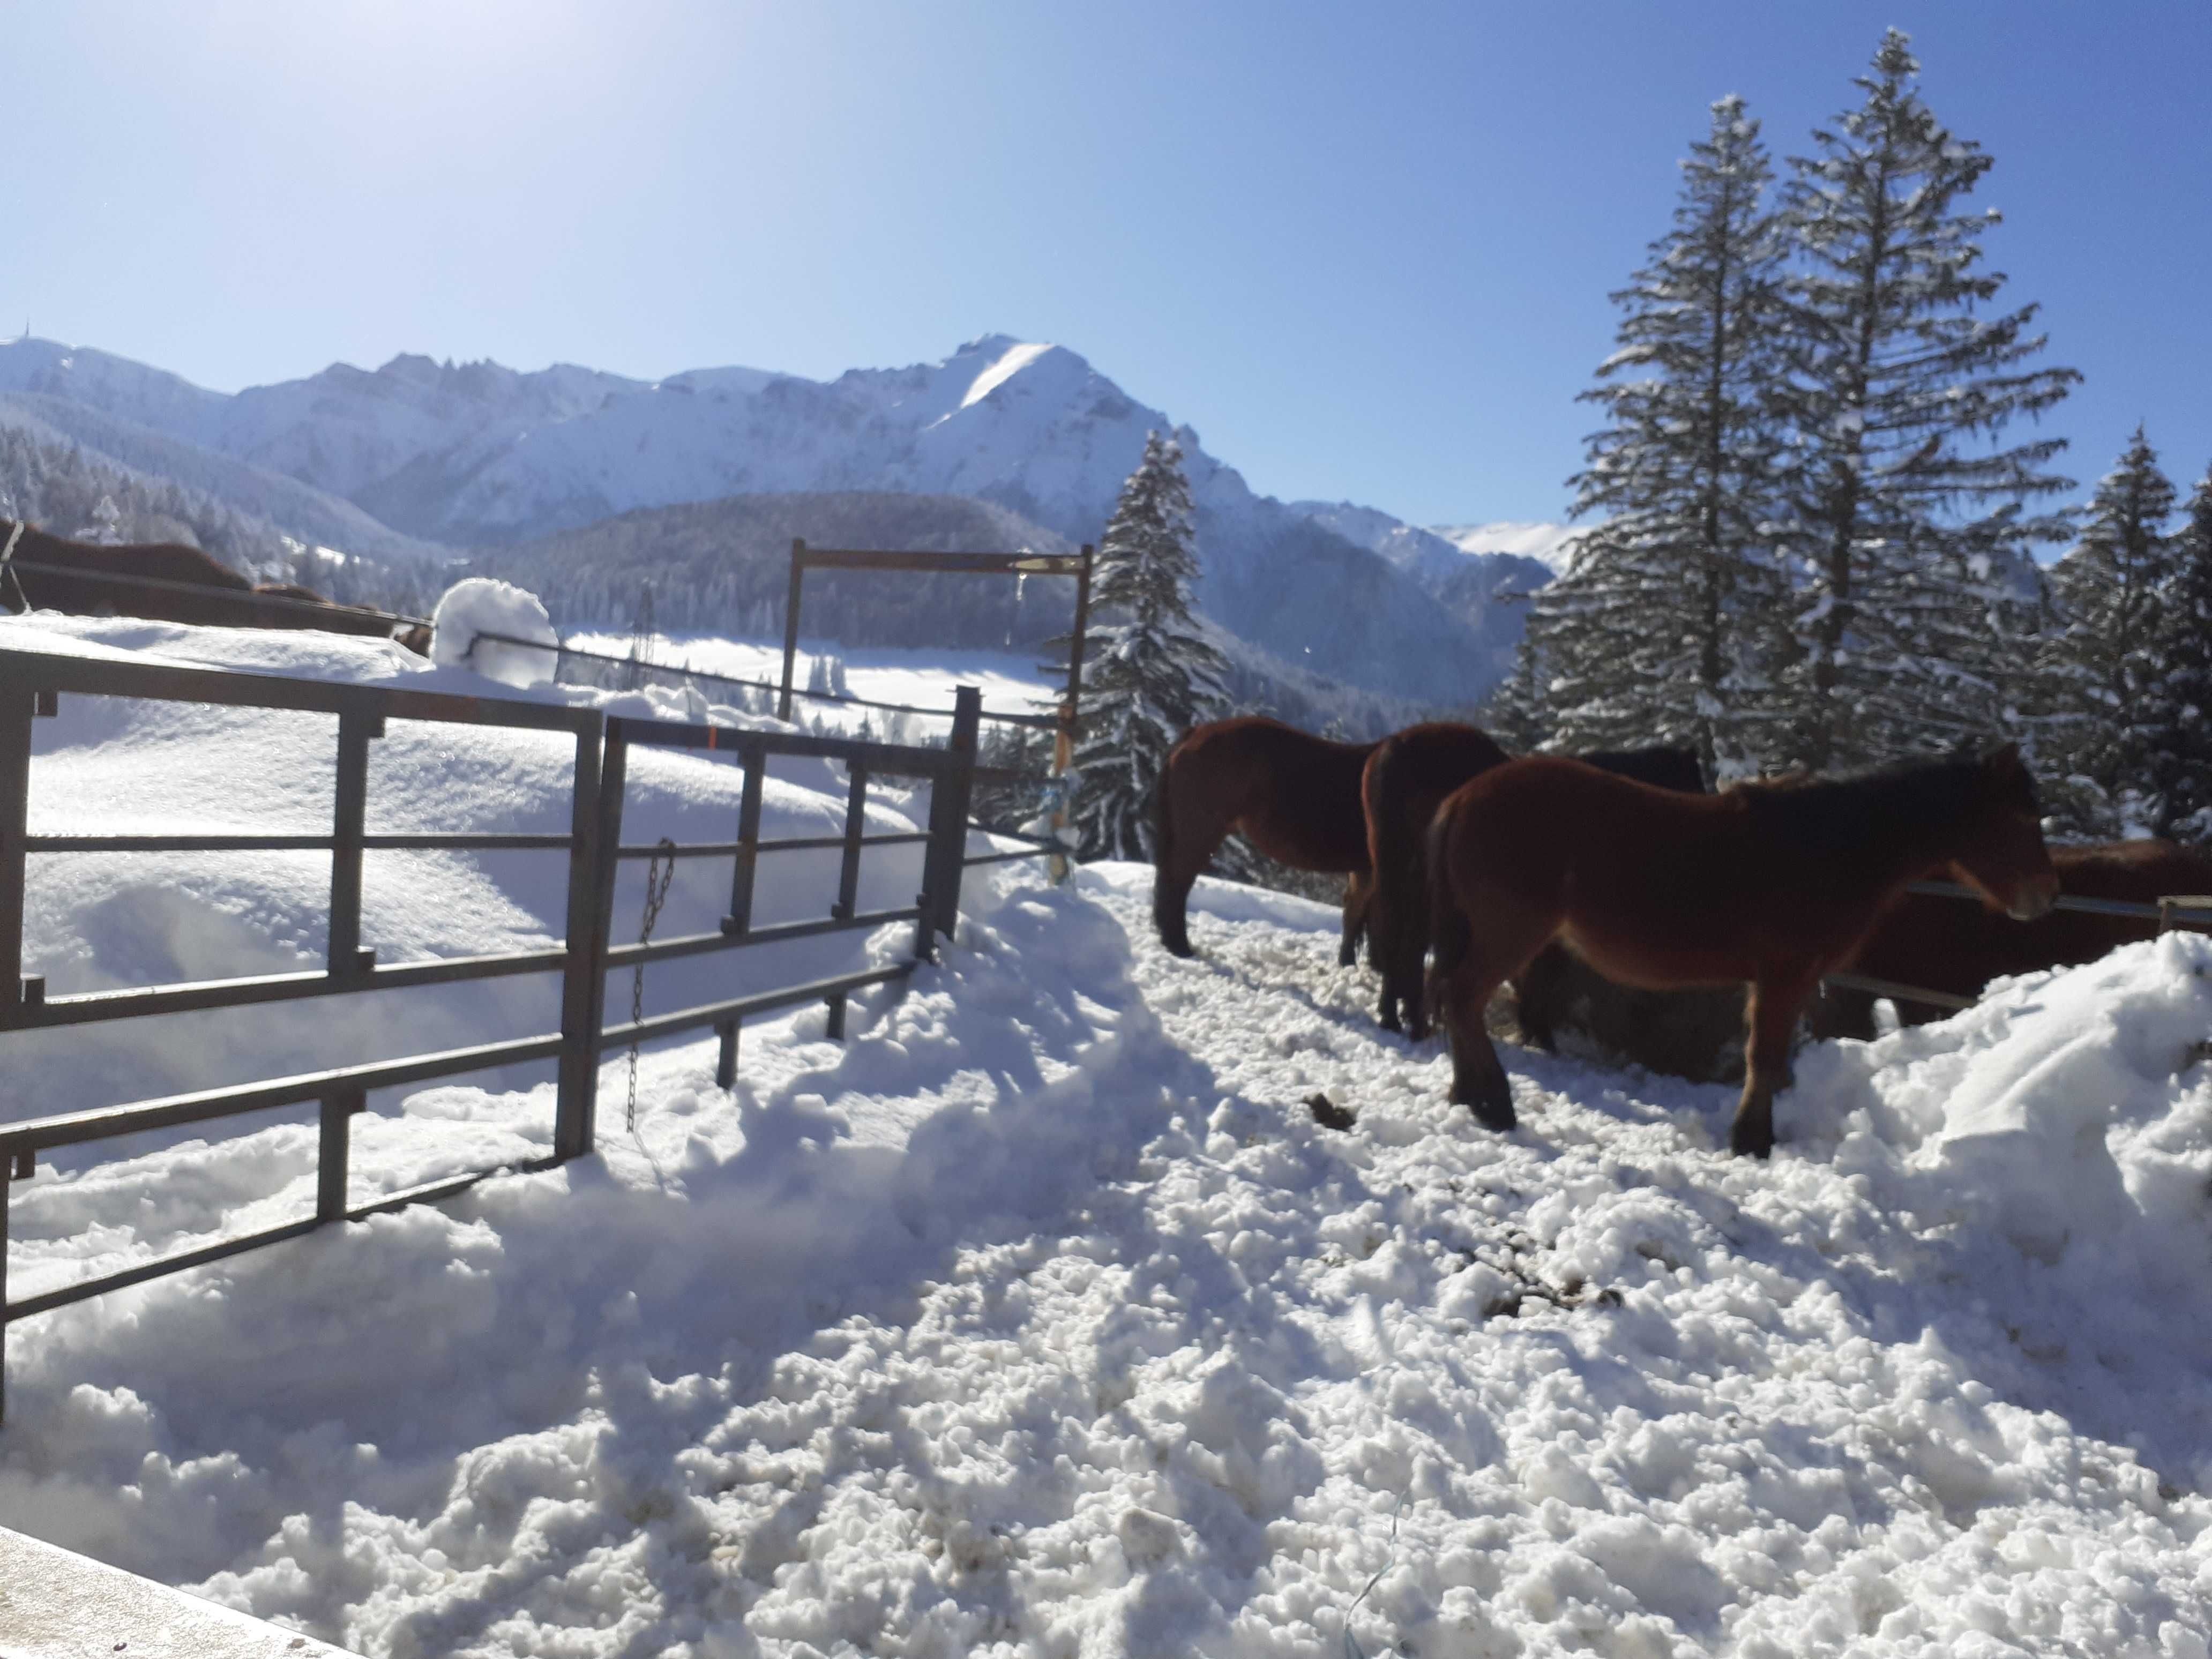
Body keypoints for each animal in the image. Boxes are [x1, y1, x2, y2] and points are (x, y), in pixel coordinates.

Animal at [1354, 725, 1699, 1040]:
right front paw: (1538, 1033)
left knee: (1401, 939)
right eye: (1694, 786)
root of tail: (1394, 750)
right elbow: (1544, 975)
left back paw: (1398, 1016)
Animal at [1424, 752, 2061, 1159]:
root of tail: (1463, 798)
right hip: (1509, 936)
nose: (2047, 896)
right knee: (1463, 998)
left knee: (1459, 1002)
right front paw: (1751, 1141)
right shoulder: (1784, 976)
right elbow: (1765, 1058)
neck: (1832, 845)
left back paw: (1467, 1094)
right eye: (2021, 816)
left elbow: (1770, 1061)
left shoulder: (1785, 982)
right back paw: (1493, 1102)